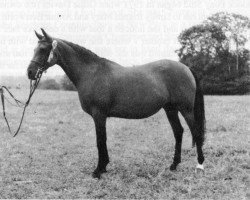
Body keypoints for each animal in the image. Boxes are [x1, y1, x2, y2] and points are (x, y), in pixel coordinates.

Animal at [26, 28, 205, 178]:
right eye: (35, 49)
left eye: (43, 49)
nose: (29, 72)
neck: (91, 73)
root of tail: (186, 68)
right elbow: (102, 140)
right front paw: (104, 167)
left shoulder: (99, 114)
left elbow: (100, 140)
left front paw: (98, 170)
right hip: (170, 109)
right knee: (178, 132)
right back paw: (174, 165)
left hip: (185, 109)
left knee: (196, 132)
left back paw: (200, 165)